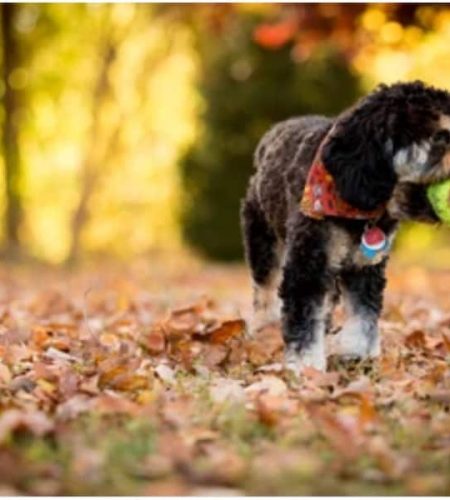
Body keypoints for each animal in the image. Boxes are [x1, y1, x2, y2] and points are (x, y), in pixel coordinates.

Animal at [241, 81, 450, 372]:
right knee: (265, 288)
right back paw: (263, 328)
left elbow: (363, 316)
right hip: (263, 240)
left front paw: (357, 356)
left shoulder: (365, 267)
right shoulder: (308, 262)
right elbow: (304, 316)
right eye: (440, 135)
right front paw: (306, 366)